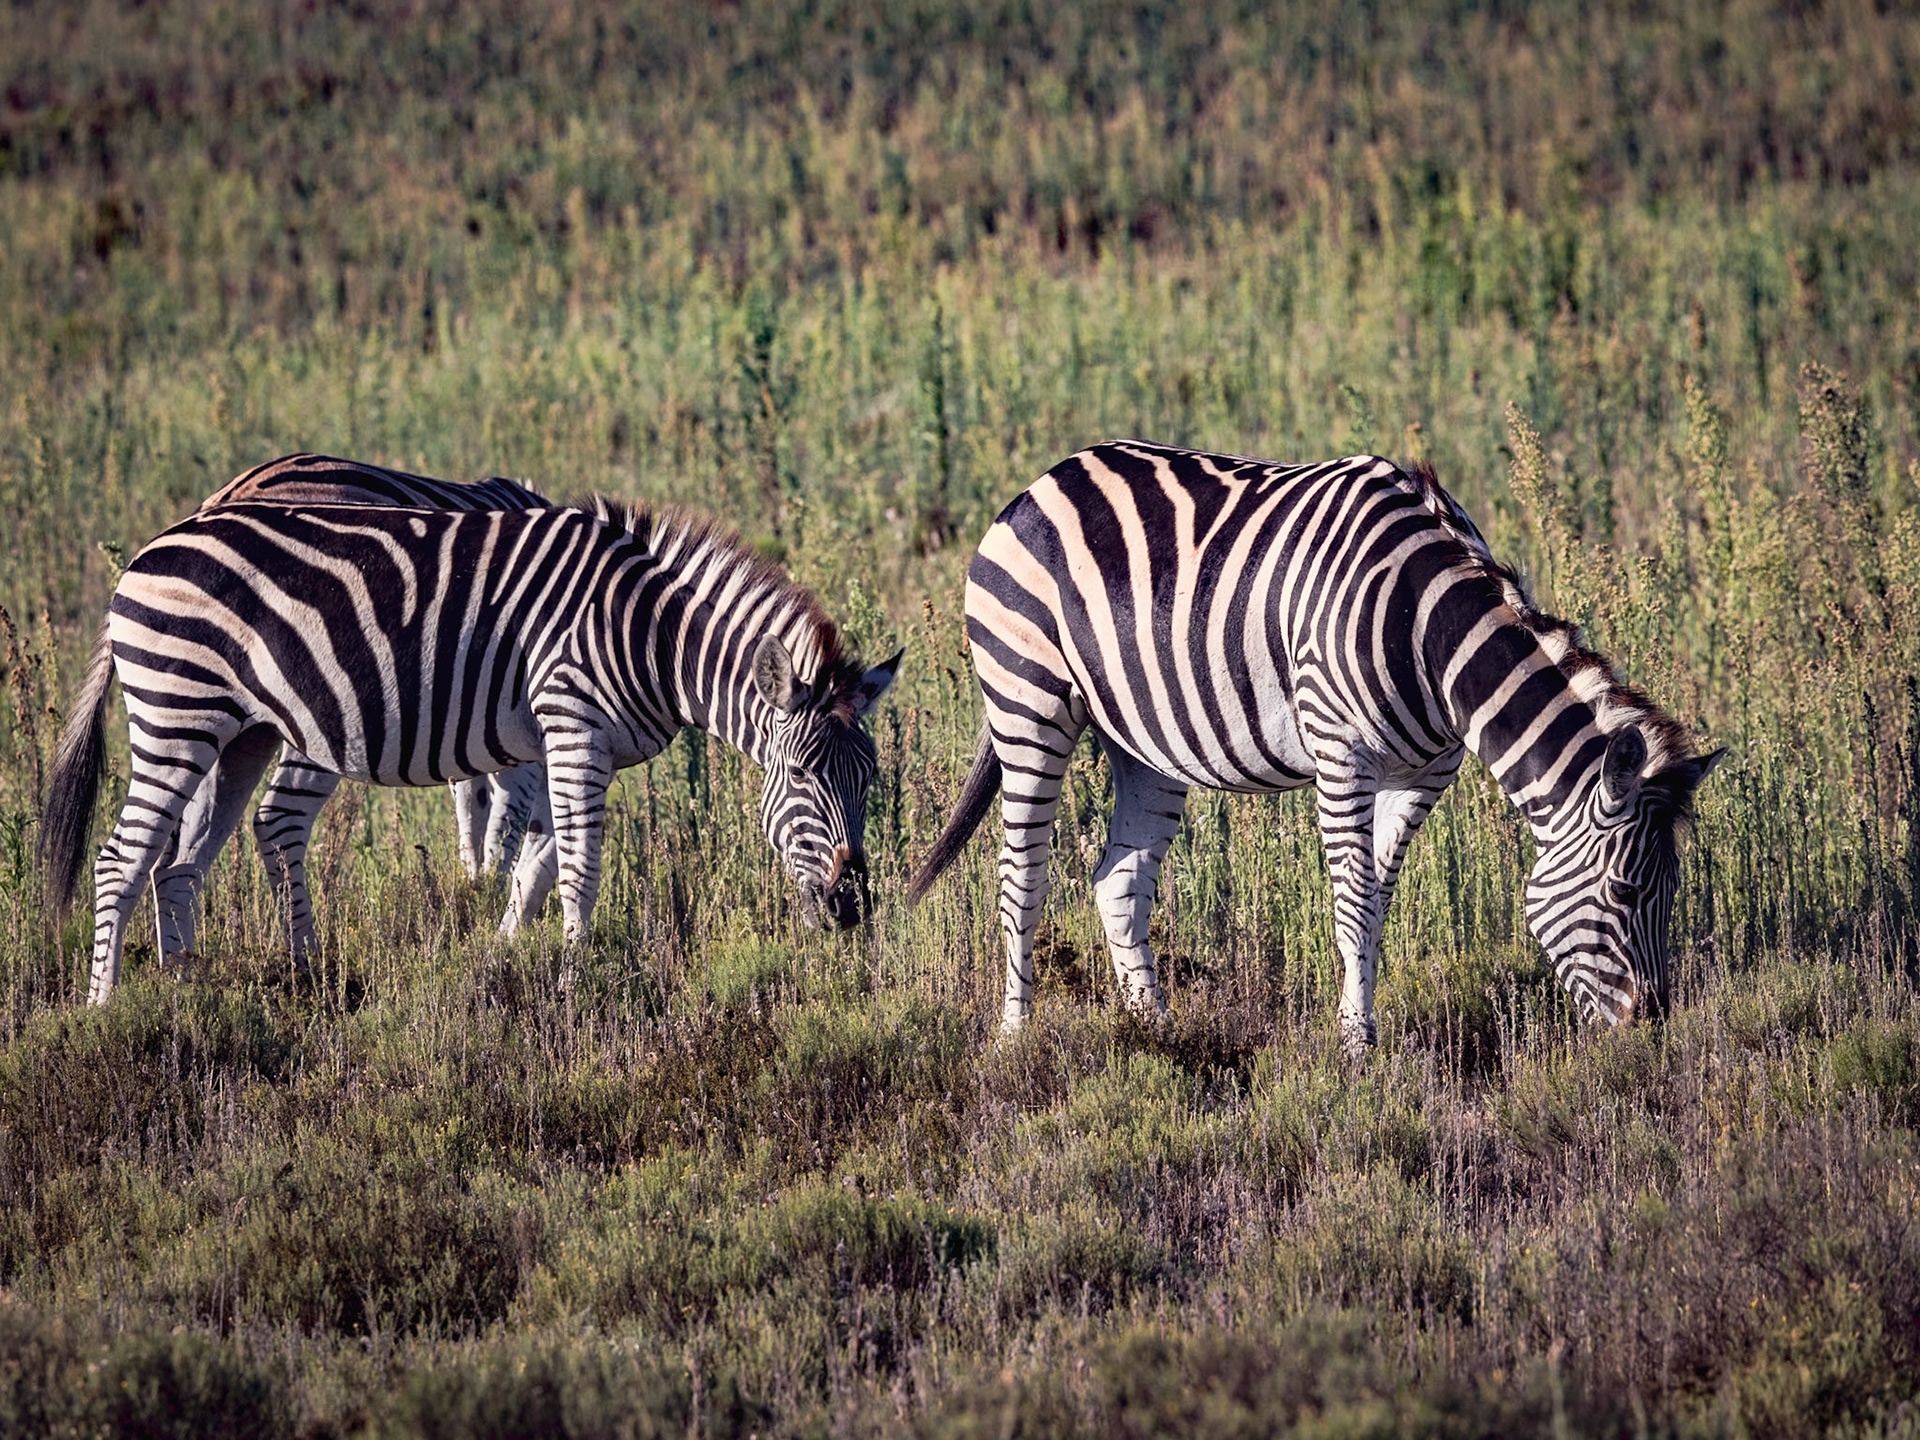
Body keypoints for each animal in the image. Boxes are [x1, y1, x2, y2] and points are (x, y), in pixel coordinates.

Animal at [909, 441, 1725, 1056]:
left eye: (1674, 891)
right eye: (1625, 892)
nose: (1651, 1029)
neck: (1431, 634)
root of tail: (1045, 480)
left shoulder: (1423, 775)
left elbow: (1379, 903)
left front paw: (1358, 1026)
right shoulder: (1341, 756)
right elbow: (1353, 902)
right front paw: (1357, 1051)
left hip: (1143, 741)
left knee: (1118, 878)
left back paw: (1158, 1035)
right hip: (1028, 698)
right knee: (1021, 876)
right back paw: (1015, 1036)